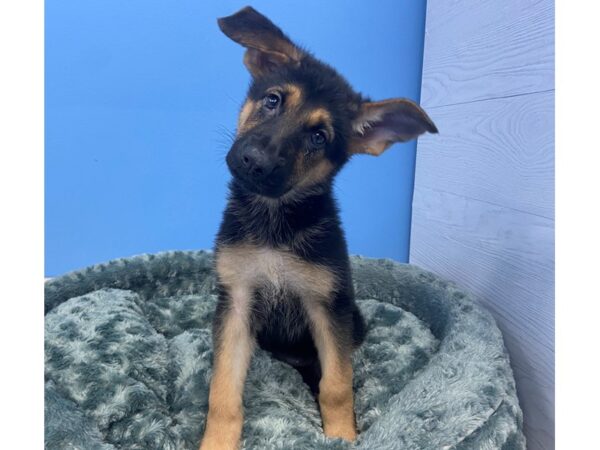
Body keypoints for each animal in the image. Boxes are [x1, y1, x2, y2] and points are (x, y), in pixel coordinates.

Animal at [200, 7, 436, 450]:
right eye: (272, 100)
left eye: (318, 136)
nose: (255, 162)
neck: (275, 221)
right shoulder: (236, 302)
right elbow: (223, 391)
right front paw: (217, 441)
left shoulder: (327, 308)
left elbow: (337, 386)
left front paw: (342, 434)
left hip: (350, 318)